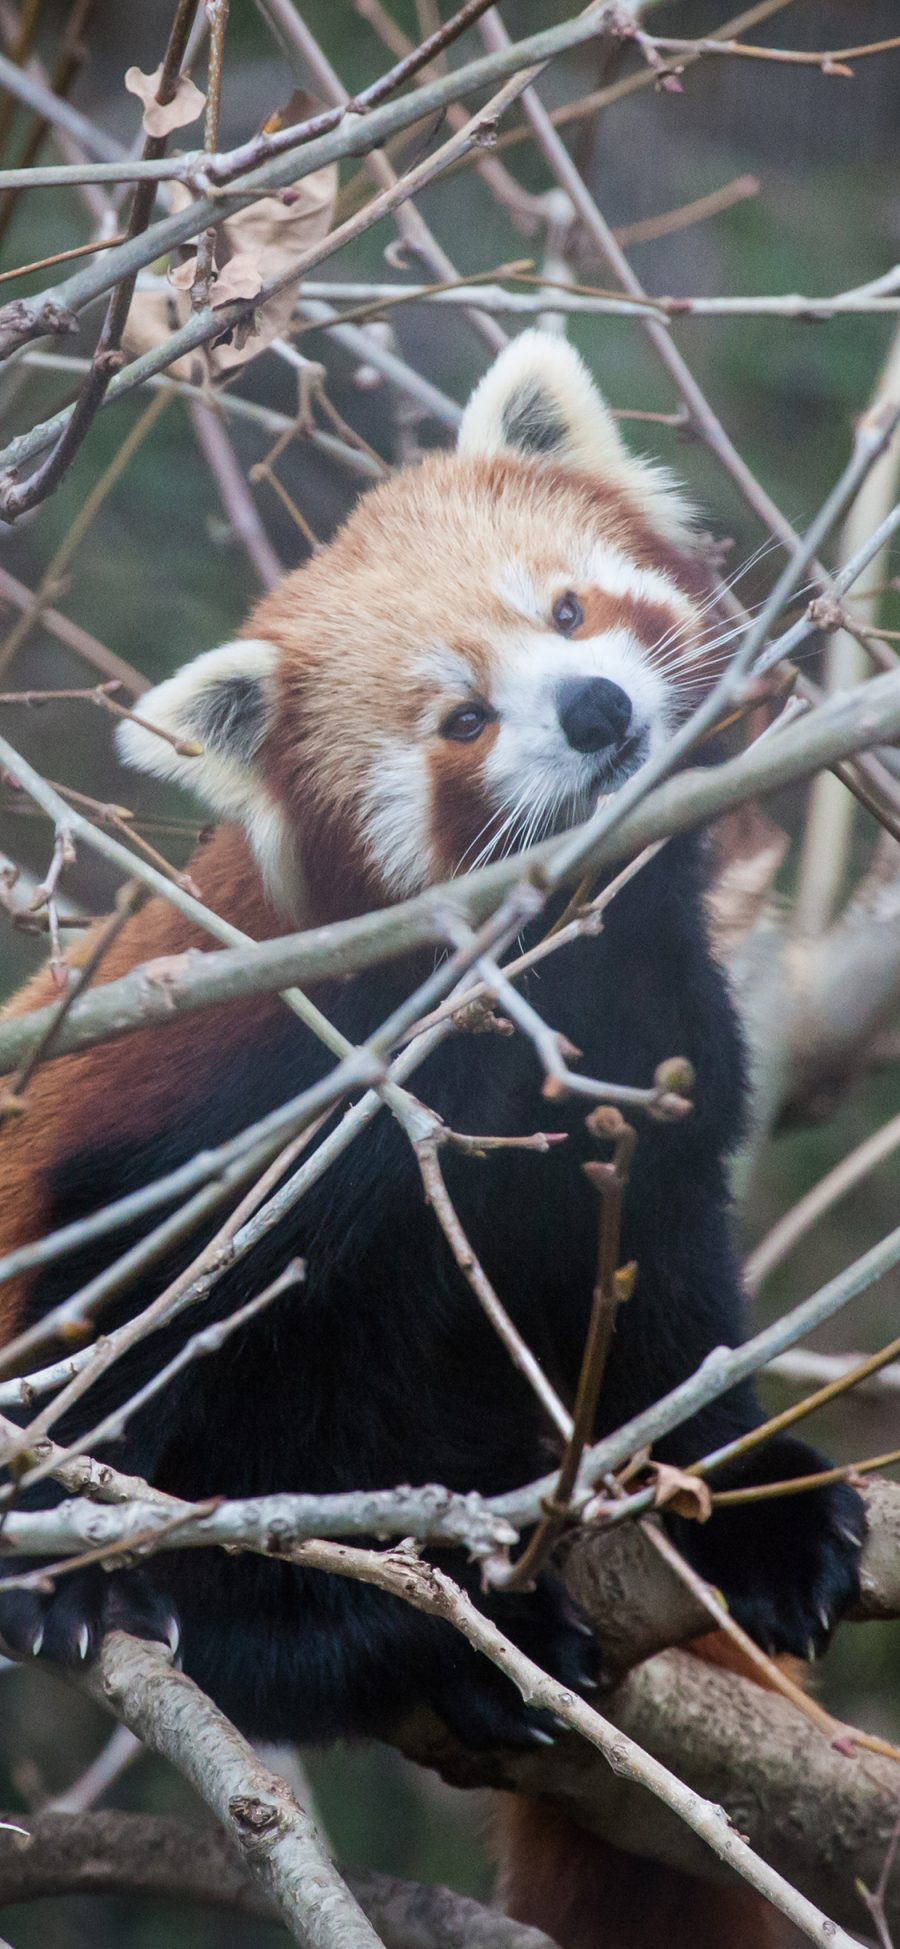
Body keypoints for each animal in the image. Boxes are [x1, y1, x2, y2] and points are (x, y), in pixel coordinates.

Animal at [0, 335, 857, 1949]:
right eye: (461, 719)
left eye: (568, 609)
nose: (593, 710)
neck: (555, 984)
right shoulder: (224, 1111)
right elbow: (119, 1320)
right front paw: (86, 1565)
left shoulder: (656, 1087)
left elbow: (663, 1313)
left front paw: (753, 1499)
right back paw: (386, 1631)